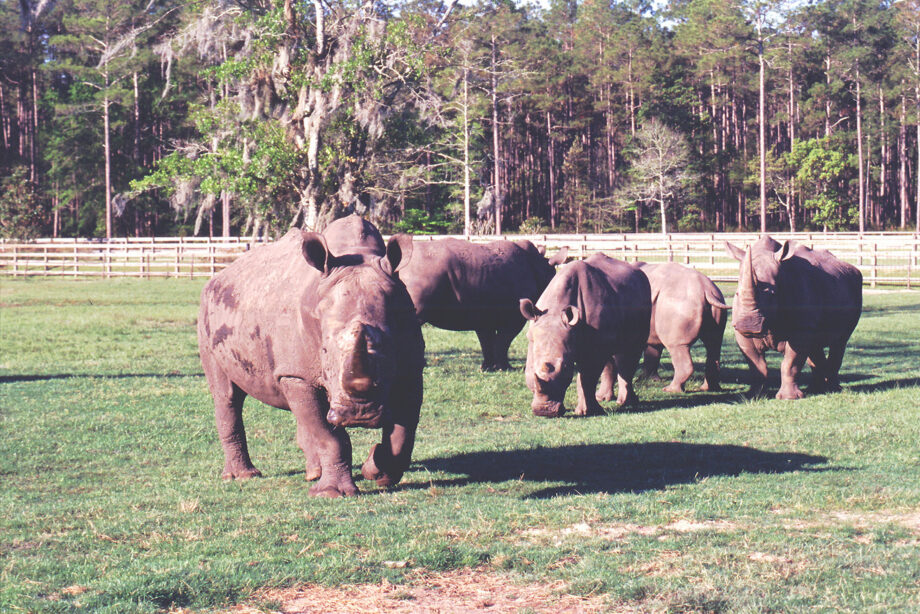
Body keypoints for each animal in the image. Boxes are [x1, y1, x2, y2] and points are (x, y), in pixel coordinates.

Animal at [197, 215, 424, 497]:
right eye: (324, 351)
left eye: (388, 351)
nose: (360, 413)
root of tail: (218, 276)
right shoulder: (296, 375)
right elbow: (331, 437)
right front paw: (332, 493)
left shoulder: (411, 366)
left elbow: (403, 435)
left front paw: (376, 470)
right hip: (207, 314)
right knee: (226, 396)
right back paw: (242, 477)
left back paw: (313, 473)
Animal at [399, 238, 568, 371]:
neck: (540, 268)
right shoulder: (514, 316)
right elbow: (504, 340)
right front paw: (505, 367)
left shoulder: (483, 312)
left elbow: (486, 340)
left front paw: (487, 367)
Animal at [519, 253, 651, 417]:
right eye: (531, 369)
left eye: (565, 368)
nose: (545, 411)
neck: (555, 311)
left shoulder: (591, 347)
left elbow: (587, 377)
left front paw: (587, 412)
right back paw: (604, 398)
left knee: (629, 353)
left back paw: (627, 403)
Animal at [638, 262, 729, 393]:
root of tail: (706, 290)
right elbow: (653, 353)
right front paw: (650, 380)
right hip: (717, 300)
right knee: (714, 344)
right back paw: (708, 388)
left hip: (678, 303)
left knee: (677, 346)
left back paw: (670, 390)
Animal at [725, 235, 862, 399]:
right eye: (737, 293)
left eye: (773, 294)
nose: (748, 325)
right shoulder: (740, 331)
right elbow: (756, 364)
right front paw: (754, 396)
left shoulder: (801, 327)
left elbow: (791, 363)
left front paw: (789, 398)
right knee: (814, 346)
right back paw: (815, 389)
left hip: (853, 287)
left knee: (839, 341)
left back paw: (833, 389)